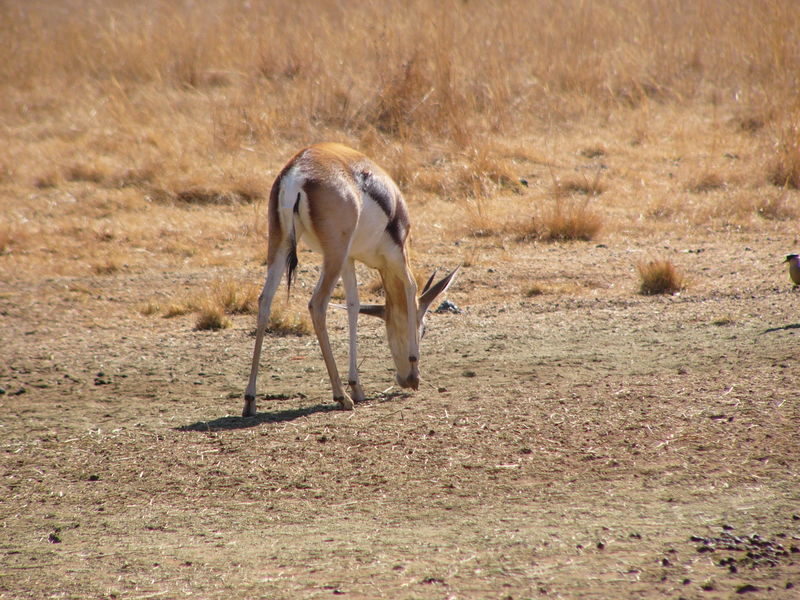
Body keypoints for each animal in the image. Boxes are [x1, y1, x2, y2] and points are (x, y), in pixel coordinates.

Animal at [242, 144, 456, 418]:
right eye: (425, 329)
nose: (405, 379)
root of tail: (297, 171)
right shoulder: (397, 256)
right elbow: (411, 288)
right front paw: (413, 369)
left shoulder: (349, 259)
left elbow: (353, 306)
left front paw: (357, 385)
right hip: (333, 253)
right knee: (317, 304)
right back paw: (340, 397)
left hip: (283, 245)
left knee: (265, 301)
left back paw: (250, 400)